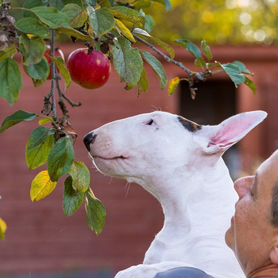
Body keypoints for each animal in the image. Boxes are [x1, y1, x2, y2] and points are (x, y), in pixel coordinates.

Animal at [83, 111, 268, 278]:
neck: (181, 220)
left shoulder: (228, 271)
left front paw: (130, 271)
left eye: (150, 122)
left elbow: (174, 265)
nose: (88, 138)